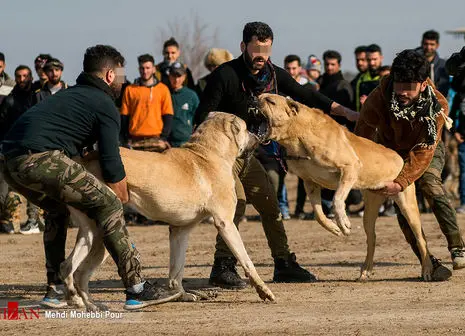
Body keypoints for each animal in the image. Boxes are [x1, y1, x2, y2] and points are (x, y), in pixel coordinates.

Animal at [59, 111, 274, 312]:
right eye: (245, 128)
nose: (258, 136)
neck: (208, 154)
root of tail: (84, 160)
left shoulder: (180, 231)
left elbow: (176, 270)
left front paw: (181, 295)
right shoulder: (226, 224)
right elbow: (246, 260)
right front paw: (263, 290)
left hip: (89, 234)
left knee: (70, 267)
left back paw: (85, 303)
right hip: (106, 233)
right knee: (80, 272)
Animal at [256, 93, 434, 282]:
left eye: (270, 101)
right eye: (259, 97)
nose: (252, 99)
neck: (298, 134)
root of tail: (399, 157)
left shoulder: (349, 168)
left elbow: (337, 199)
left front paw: (343, 223)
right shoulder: (310, 182)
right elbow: (319, 214)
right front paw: (333, 227)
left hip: (408, 206)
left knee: (421, 238)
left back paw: (427, 269)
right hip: (370, 211)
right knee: (372, 238)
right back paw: (366, 270)